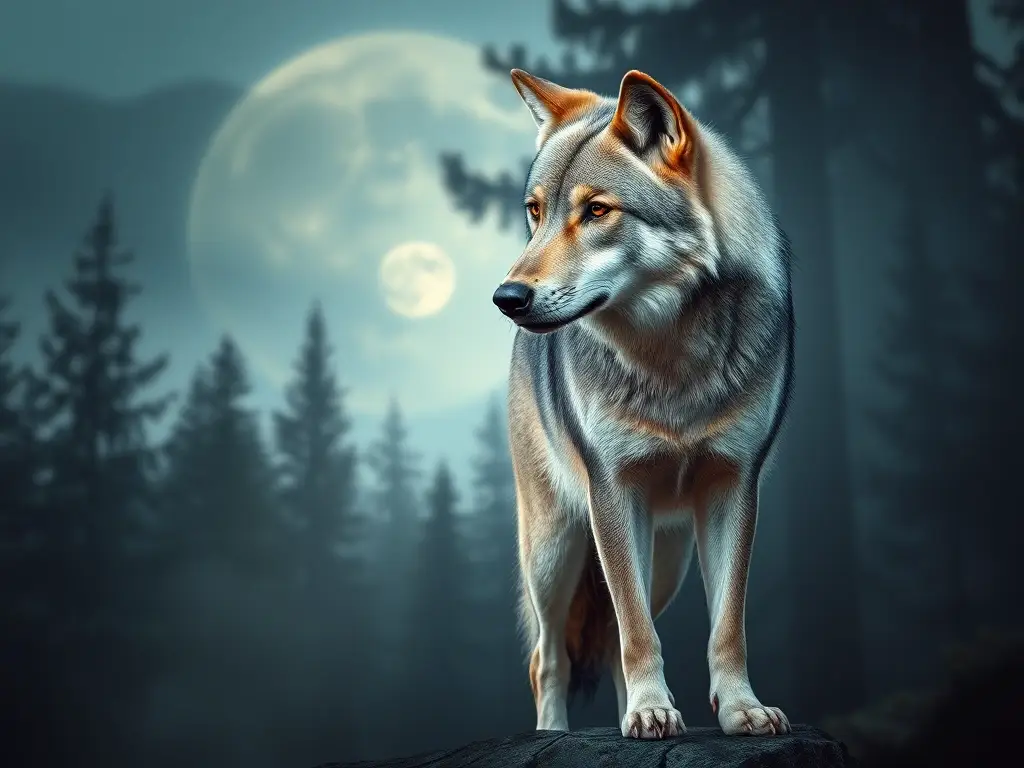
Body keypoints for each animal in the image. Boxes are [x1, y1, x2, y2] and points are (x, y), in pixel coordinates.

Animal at [491, 68, 794, 740]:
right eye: (536, 212)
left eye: (597, 210)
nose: (507, 297)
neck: (672, 363)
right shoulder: (612, 490)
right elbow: (635, 634)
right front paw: (652, 711)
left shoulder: (736, 485)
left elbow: (725, 626)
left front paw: (741, 710)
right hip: (554, 551)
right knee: (547, 658)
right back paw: (556, 734)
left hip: (667, 560)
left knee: (610, 642)